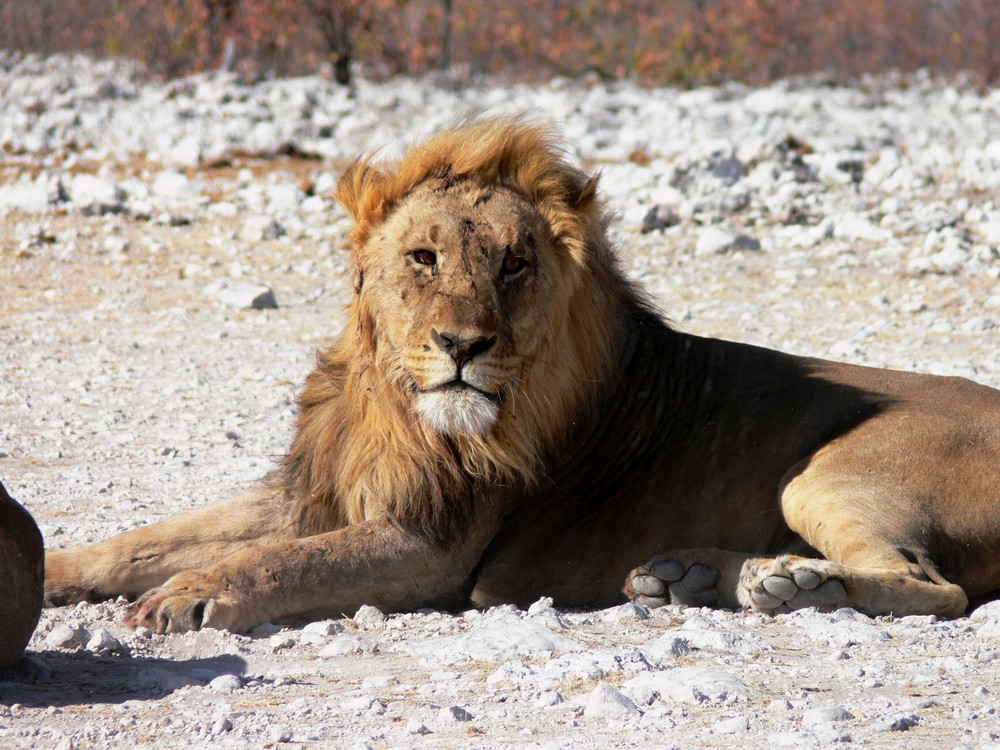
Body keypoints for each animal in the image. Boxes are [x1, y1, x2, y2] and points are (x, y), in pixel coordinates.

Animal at [43, 119, 1000, 636]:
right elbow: (144, 539)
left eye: (514, 264)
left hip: (822, 476)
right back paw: (700, 576)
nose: (463, 345)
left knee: (938, 589)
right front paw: (53, 570)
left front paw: (189, 597)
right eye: (425, 258)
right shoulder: (312, 492)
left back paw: (795, 585)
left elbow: (276, 561)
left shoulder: (431, 544)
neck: (394, 402)